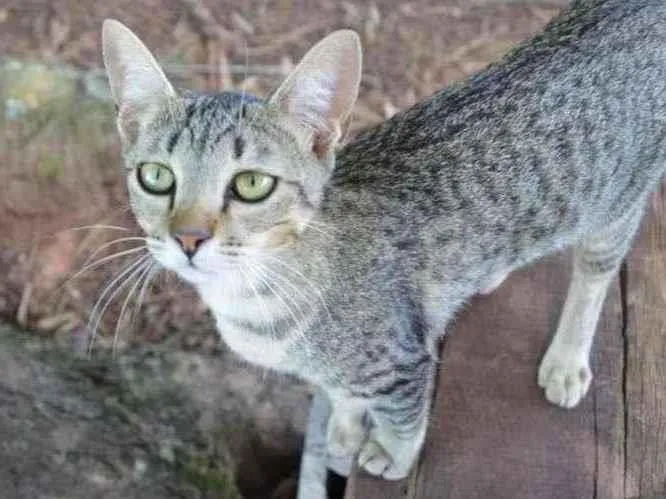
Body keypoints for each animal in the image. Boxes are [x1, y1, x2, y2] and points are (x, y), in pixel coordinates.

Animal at [101, 0, 664, 482]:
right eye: (156, 177)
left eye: (252, 184)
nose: (187, 238)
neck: (254, 298)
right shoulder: (338, 371)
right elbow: (342, 393)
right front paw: (345, 429)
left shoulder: (405, 362)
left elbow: (401, 416)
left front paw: (391, 455)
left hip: (617, 203)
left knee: (595, 274)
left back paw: (566, 360)